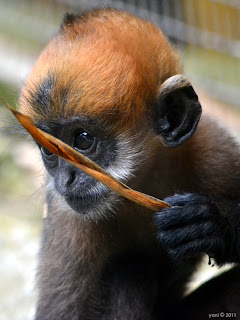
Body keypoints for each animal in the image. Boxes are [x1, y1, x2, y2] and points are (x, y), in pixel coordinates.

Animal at [18, 6, 240, 320]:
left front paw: (214, 226)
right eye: (49, 150)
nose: (66, 180)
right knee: (131, 269)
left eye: (83, 140)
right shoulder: (69, 218)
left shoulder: (215, 151)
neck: (145, 181)